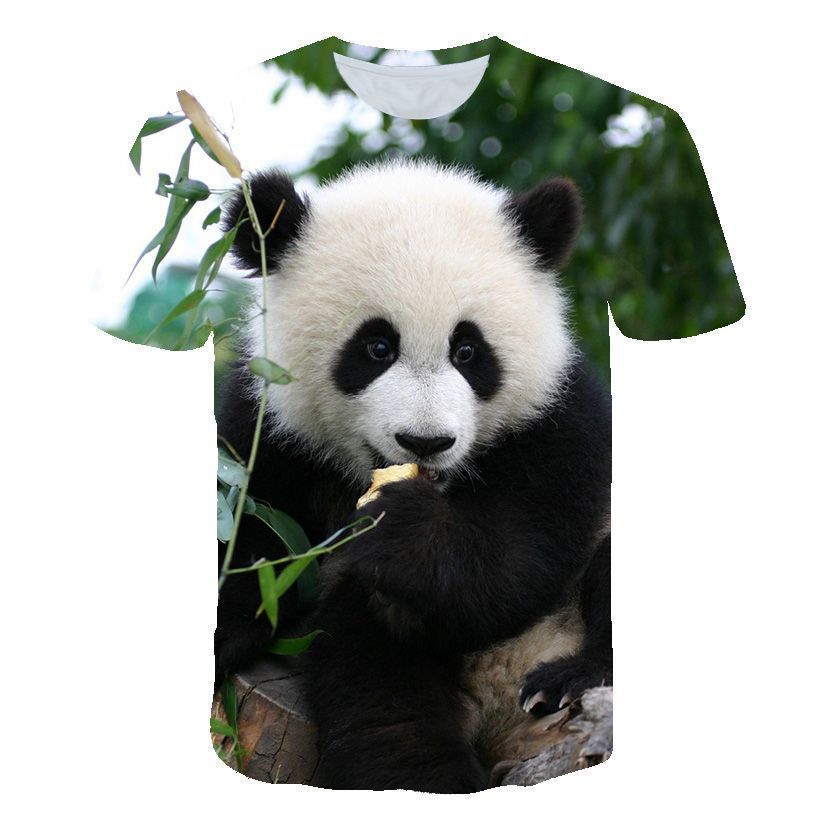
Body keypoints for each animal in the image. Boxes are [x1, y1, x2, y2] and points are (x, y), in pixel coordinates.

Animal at [215, 160, 612, 793]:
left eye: (468, 351)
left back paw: (565, 680)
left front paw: (402, 532)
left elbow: (520, 557)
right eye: (377, 347)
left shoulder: (560, 423)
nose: (426, 442)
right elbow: (248, 538)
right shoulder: (269, 434)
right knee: (381, 689)